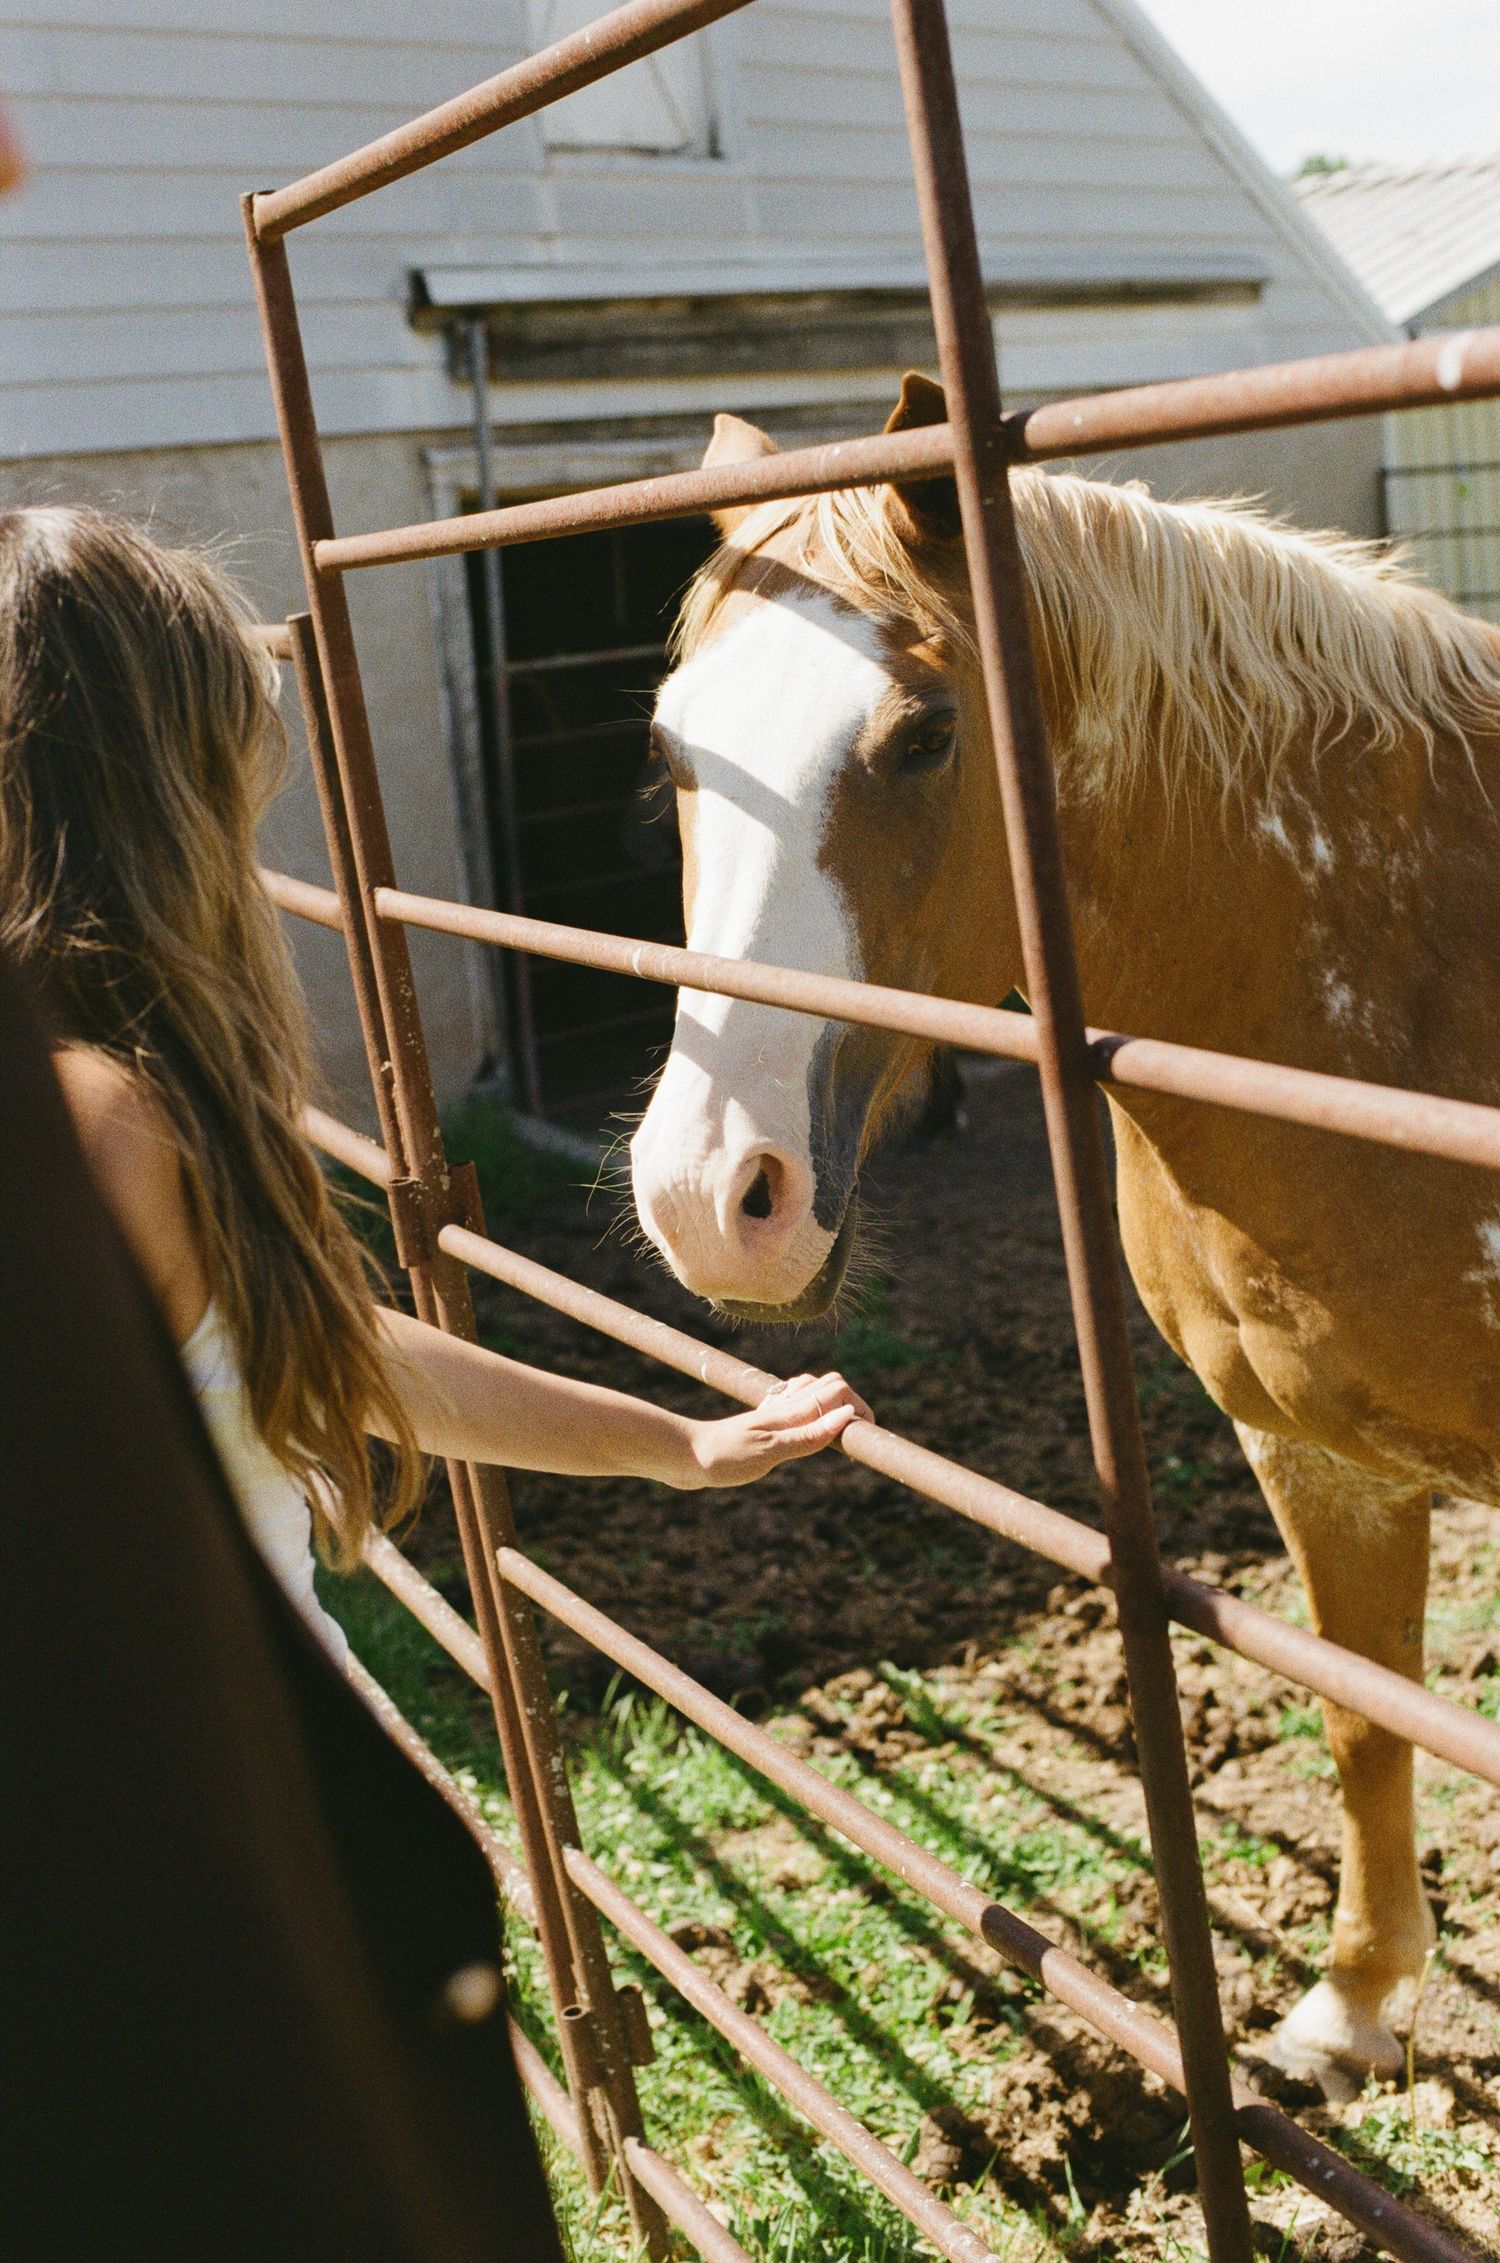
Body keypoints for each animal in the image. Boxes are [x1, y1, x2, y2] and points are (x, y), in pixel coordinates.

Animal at [630, 373, 1500, 2101]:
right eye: (674, 744)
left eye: (922, 735)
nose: (711, 1194)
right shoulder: (1316, 1450)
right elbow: (1366, 1714)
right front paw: (1353, 2006)